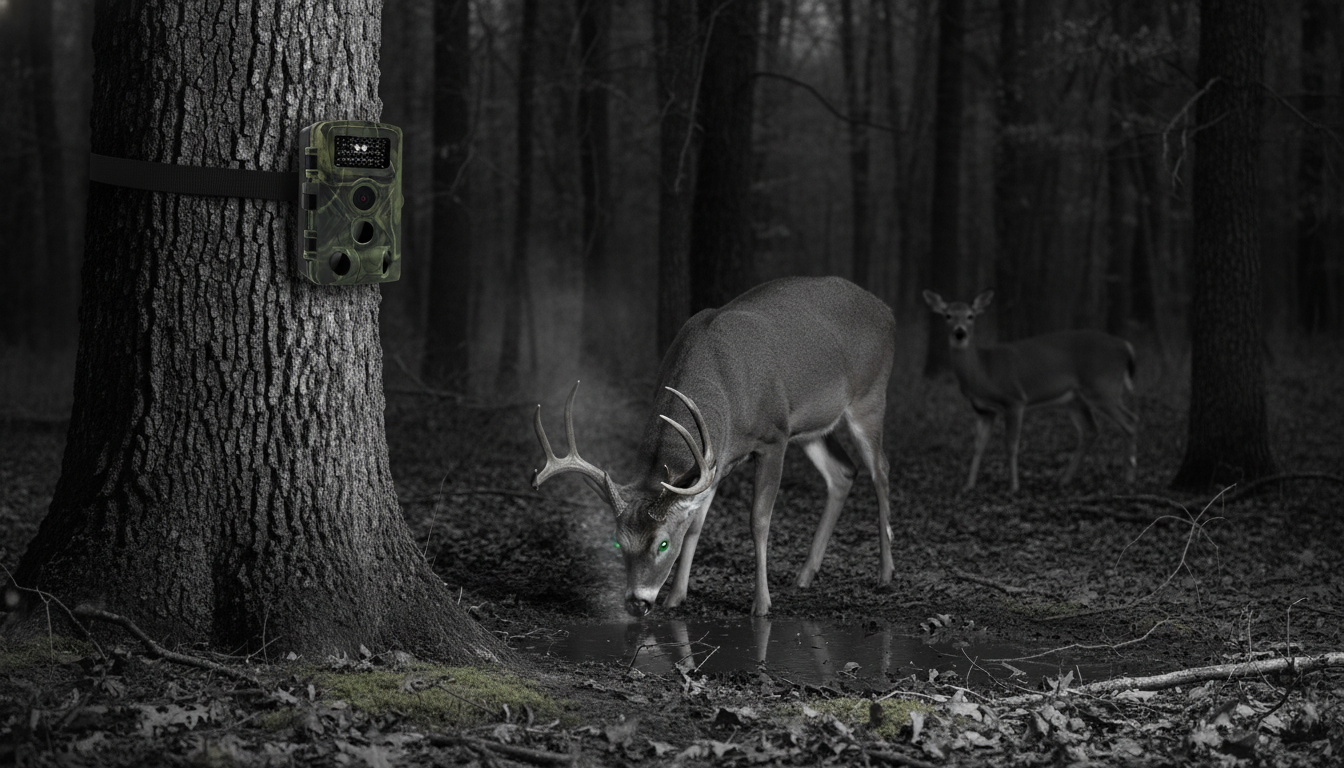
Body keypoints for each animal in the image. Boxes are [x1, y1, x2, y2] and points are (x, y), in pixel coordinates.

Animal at [532, 276, 897, 617]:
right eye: (618, 542)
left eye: (662, 543)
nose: (637, 603)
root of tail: (886, 310)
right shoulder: (713, 461)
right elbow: (695, 524)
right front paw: (676, 597)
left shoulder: (774, 436)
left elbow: (759, 519)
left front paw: (761, 604)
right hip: (812, 429)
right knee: (843, 472)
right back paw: (806, 574)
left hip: (870, 396)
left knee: (880, 469)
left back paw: (885, 573)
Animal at [923, 290, 1138, 493]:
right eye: (948, 315)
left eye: (970, 316)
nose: (960, 333)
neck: (983, 371)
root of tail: (1125, 346)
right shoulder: (984, 410)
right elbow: (978, 447)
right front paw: (968, 486)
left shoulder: (1014, 400)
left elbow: (1011, 444)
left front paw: (1014, 486)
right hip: (1075, 400)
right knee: (1090, 430)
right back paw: (1064, 480)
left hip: (1103, 387)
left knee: (1129, 421)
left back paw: (1128, 478)